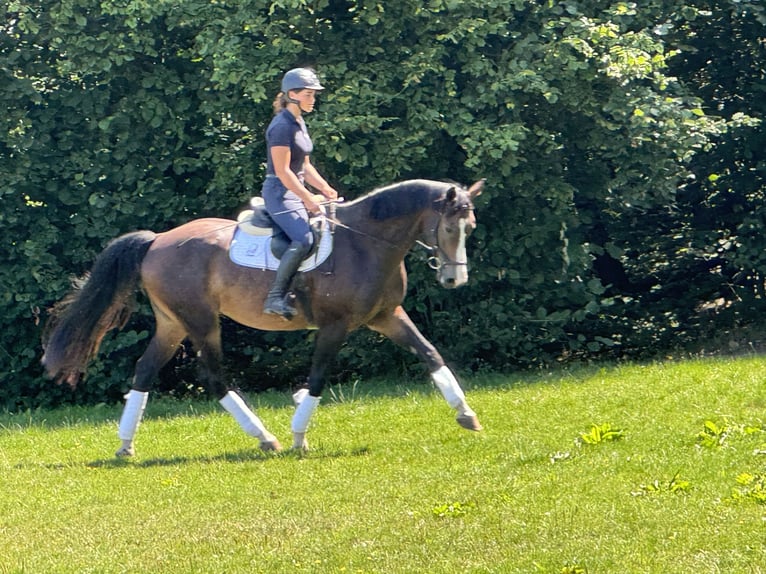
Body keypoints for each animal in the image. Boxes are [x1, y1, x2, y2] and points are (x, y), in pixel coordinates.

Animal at [42, 178, 486, 456]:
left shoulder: (386, 316)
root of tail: (157, 241)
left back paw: (125, 444)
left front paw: (466, 413)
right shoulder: (335, 325)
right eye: (450, 227)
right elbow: (318, 377)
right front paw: (299, 434)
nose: (455, 278)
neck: (366, 243)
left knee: (144, 370)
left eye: (471, 226)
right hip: (200, 320)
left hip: (173, 323)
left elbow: (430, 354)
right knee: (214, 378)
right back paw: (265, 437)